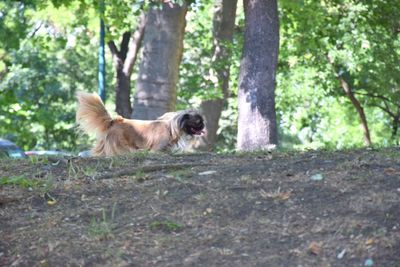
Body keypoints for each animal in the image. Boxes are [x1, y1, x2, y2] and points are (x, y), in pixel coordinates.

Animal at [76, 91, 206, 157]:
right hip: (120, 144)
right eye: (198, 122)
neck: (171, 129)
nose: (204, 126)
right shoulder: (157, 149)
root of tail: (113, 121)